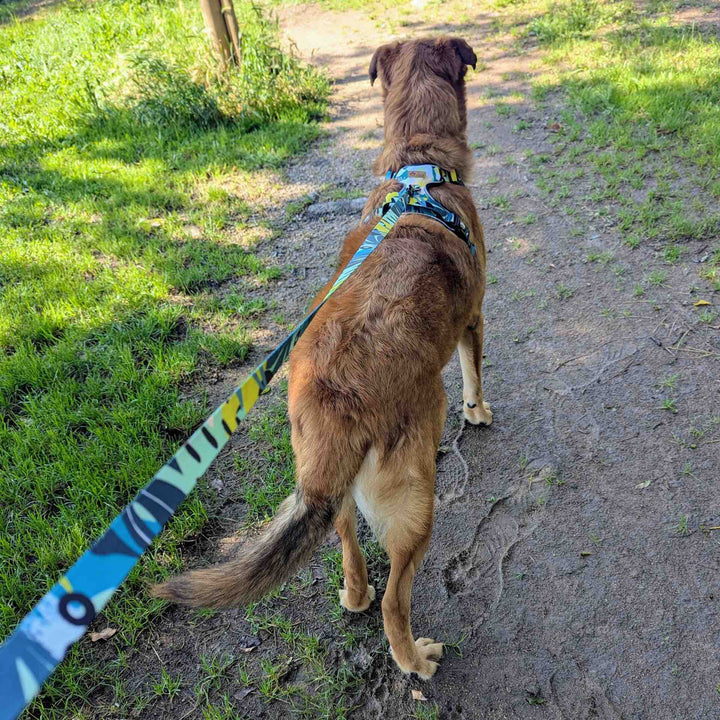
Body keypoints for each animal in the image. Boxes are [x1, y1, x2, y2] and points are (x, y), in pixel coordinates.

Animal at [151, 36, 490, 680]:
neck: (419, 168)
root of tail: (340, 396)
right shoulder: (474, 320)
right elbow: (474, 374)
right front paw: (479, 413)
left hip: (332, 489)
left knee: (349, 549)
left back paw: (352, 596)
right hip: (416, 503)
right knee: (393, 601)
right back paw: (416, 658)